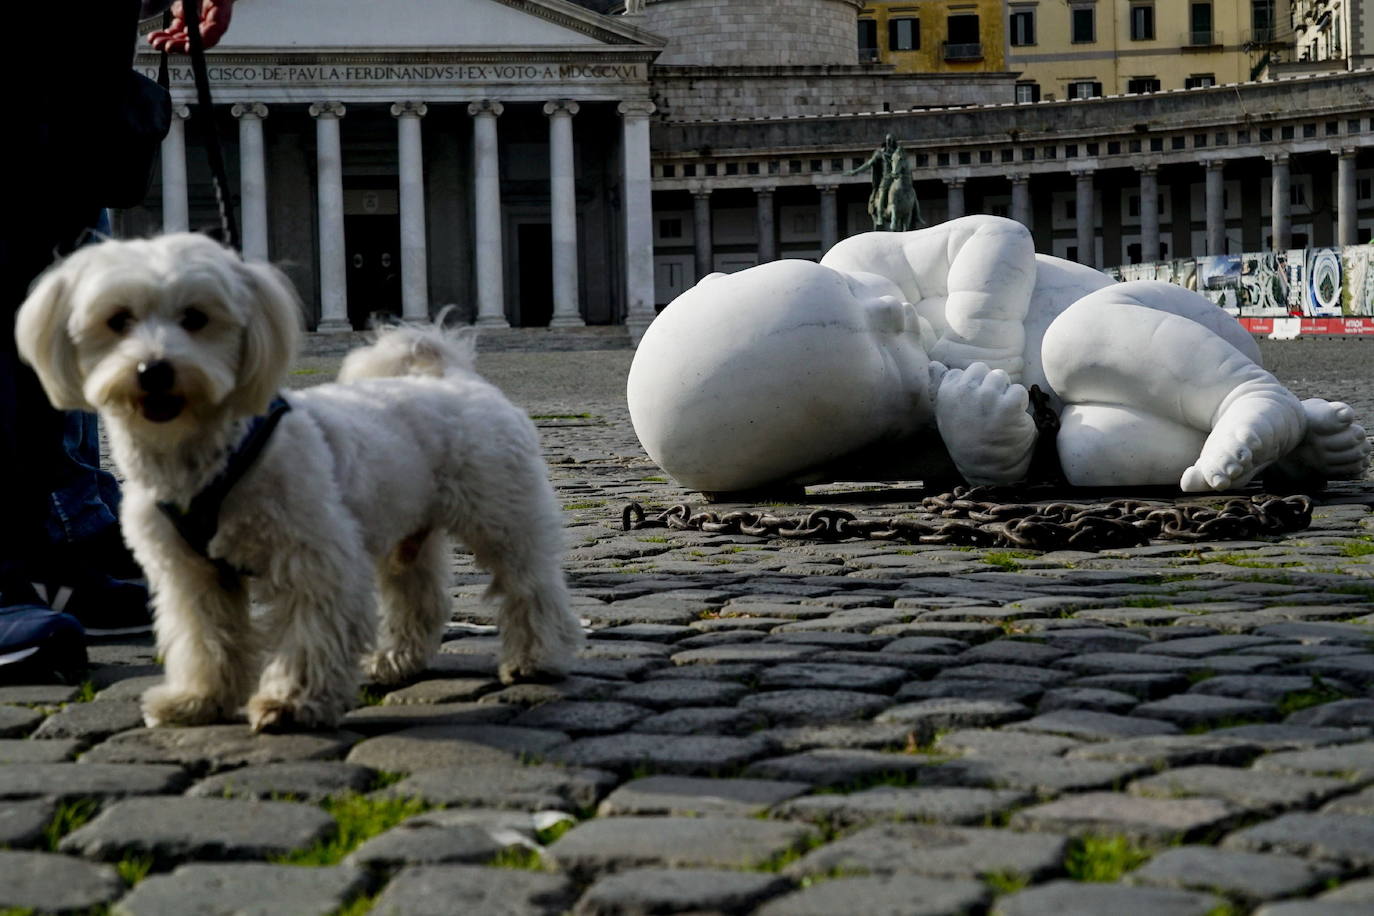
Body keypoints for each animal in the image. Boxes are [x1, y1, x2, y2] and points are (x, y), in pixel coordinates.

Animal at [16, 234, 585, 730]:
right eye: (118, 320)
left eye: (196, 318)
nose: (153, 370)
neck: (206, 455)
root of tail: (459, 379)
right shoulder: (192, 575)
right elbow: (205, 639)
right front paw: (199, 699)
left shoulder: (316, 560)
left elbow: (308, 635)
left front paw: (290, 702)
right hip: (405, 533)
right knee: (419, 596)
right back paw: (396, 660)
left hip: (503, 519)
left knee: (530, 586)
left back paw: (537, 657)